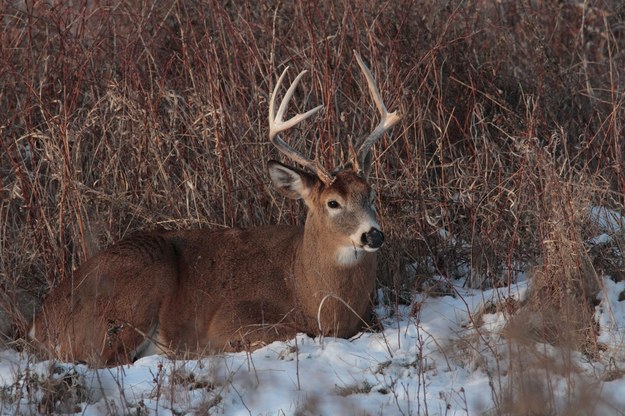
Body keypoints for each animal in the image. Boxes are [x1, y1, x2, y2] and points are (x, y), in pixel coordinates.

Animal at [28, 51, 400, 364]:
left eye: (370, 194)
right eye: (332, 203)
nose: (373, 235)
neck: (308, 288)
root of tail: (41, 324)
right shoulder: (232, 319)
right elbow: (292, 332)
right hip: (131, 293)